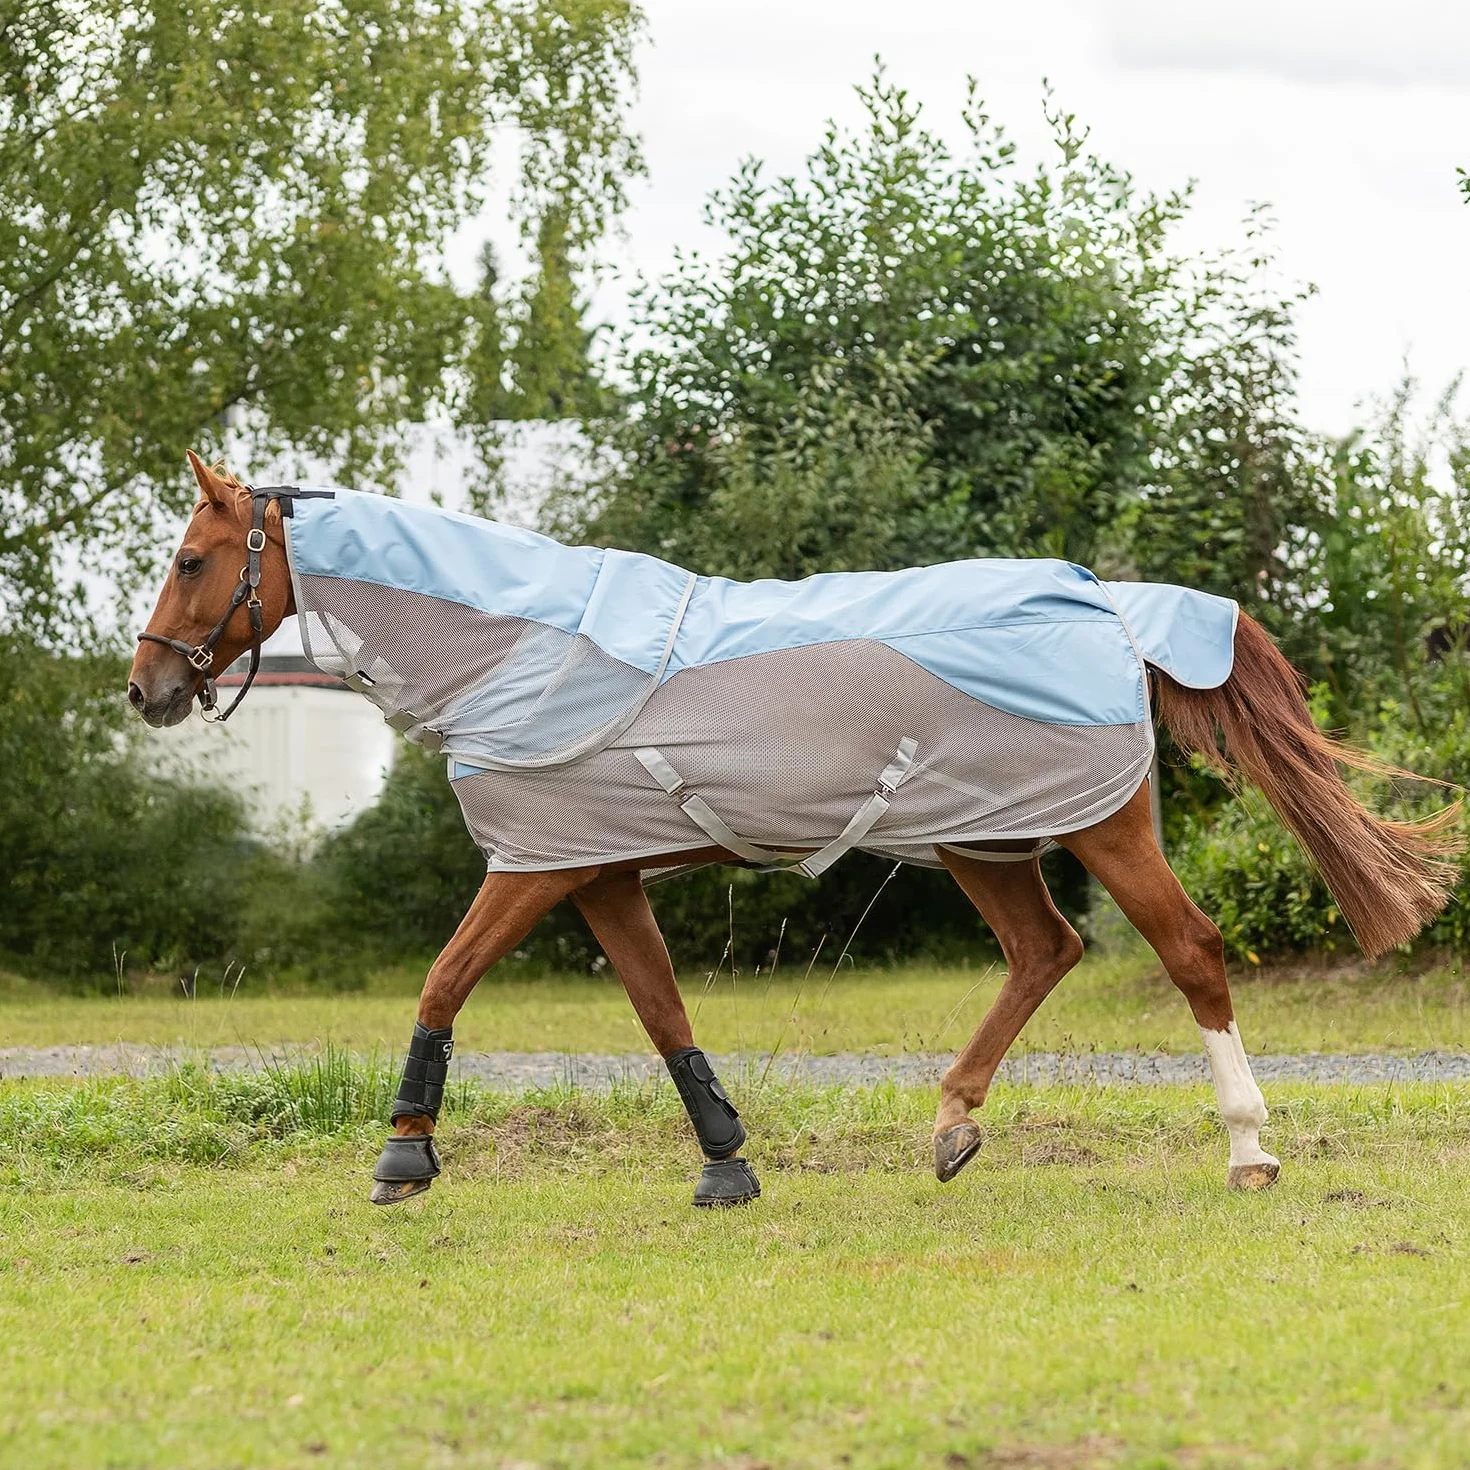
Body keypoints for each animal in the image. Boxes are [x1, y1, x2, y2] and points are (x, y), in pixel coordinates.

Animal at [129, 452, 1461, 1207]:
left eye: (193, 559)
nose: (146, 690)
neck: (524, 650)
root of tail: (1107, 601)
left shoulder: (539, 865)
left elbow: (445, 980)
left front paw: (403, 1156)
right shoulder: (597, 873)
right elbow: (663, 1014)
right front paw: (726, 1163)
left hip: (1101, 831)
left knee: (1188, 952)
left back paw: (1248, 1152)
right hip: (983, 840)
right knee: (1045, 952)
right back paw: (952, 1126)